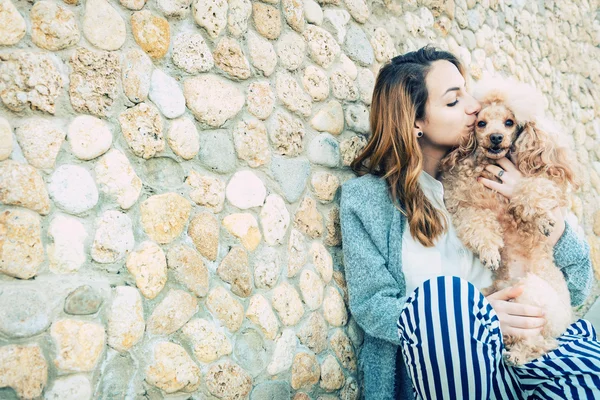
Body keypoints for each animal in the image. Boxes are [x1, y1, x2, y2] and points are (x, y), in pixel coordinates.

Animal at [440, 76, 580, 366]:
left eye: (509, 122)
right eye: (481, 123)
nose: (495, 137)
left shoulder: (539, 179)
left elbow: (534, 187)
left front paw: (544, 219)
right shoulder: (465, 205)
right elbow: (479, 225)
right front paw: (490, 252)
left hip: (532, 294)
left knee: (540, 343)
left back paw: (517, 355)